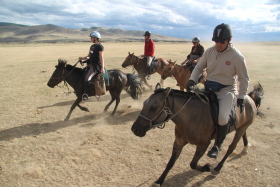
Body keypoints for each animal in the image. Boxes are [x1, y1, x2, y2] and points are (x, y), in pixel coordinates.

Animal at [131, 84, 262, 186]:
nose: (135, 129)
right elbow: (170, 163)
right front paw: (159, 181)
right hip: (241, 127)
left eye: (153, 107)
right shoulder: (178, 142)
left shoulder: (203, 145)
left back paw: (218, 167)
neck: (191, 118)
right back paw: (245, 147)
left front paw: (206, 168)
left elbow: (193, 164)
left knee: (231, 148)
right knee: (243, 135)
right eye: (144, 103)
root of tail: (249, 98)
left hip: (240, 128)